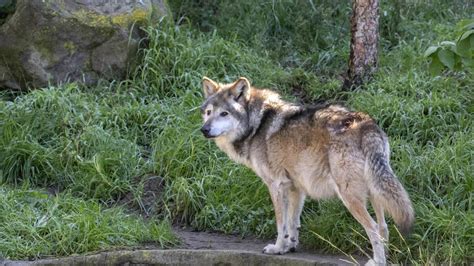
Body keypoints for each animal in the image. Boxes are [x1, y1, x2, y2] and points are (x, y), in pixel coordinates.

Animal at [198, 76, 412, 264]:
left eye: (224, 114)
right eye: (208, 112)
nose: (204, 129)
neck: (256, 125)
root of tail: (366, 124)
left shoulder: (276, 185)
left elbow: (281, 223)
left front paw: (277, 248)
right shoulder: (296, 187)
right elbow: (293, 222)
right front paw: (289, 247)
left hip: (350, 196)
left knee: (373, 227)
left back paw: (378, 261)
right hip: (375, 192)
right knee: (384, 227)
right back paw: (382, 257)